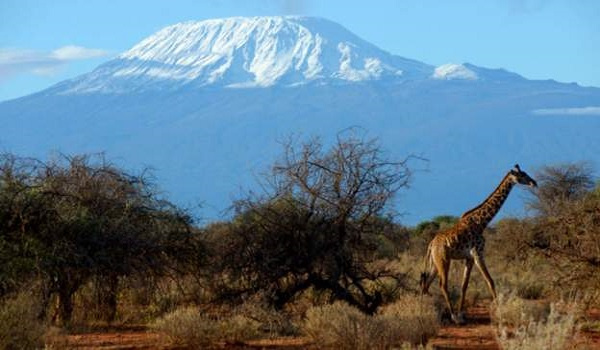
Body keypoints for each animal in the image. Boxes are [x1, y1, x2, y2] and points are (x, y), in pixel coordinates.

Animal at [420, 164, 536, 322]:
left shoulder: (469, 258)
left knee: (426, 284)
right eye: (522, 175)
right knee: (442, 284)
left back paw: (430, 311)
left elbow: (464, 285)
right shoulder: (478, 254)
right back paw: (452, 316)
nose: (534, 182)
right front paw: (499, 311)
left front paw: (462, 314)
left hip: (435, 263)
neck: (482, 222)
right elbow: (490, 281)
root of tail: (431, 244)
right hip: (444, 260)